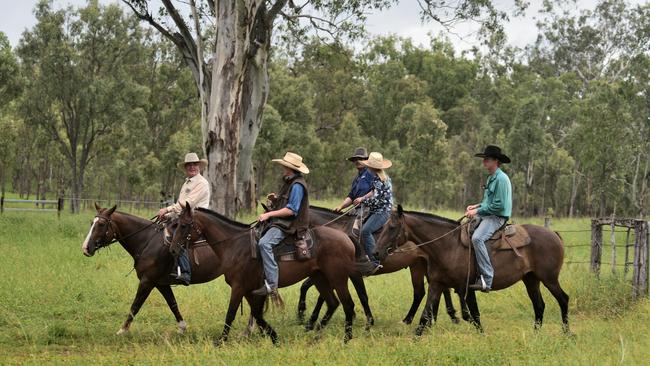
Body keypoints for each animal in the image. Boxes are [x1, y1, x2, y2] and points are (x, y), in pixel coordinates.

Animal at [81, 204, 223, 336]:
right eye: (91, 223)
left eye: (101, 224)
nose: (86, 248)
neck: (148, 241)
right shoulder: (161, 284)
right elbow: (172, 304)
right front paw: (182, 328)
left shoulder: (147, 282)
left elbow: (135, 305)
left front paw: (122, 330)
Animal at [170, 203, 356, 344]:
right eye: (175, 224)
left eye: (183, 225)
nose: (172, 249)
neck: (235, 244)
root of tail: (346, 238)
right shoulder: (250, 289)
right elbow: (258, 315)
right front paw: (273, 337)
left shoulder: (239, 287)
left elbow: (231, 314)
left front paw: (220, 341)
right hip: (320, 278)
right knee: (333, 303)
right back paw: (316, 335)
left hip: (338, 278)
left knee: (348, 304)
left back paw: (346, 339)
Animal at [302, 206, 468, 326]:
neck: (339, 231)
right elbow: (314, 290)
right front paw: (305, 316)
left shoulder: (352, 273)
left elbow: (362, 295)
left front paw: (369, 321)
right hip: (419, 266)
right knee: (423, 292)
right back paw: (415, 319)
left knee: (438, 290)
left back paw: (446, 317)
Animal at [372, 204, 568, 336]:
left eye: (391, 227)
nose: (376, 252)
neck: (448, 245)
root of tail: (554, 234)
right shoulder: (437, 284)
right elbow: (426, 315)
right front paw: (415, 339)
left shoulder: (466, 287)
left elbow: (474, 315)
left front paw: (482, 335)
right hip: (531, 279)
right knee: (539, 305)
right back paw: (536, 334)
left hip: (549, 278)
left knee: (563, 299)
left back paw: (566, 333)